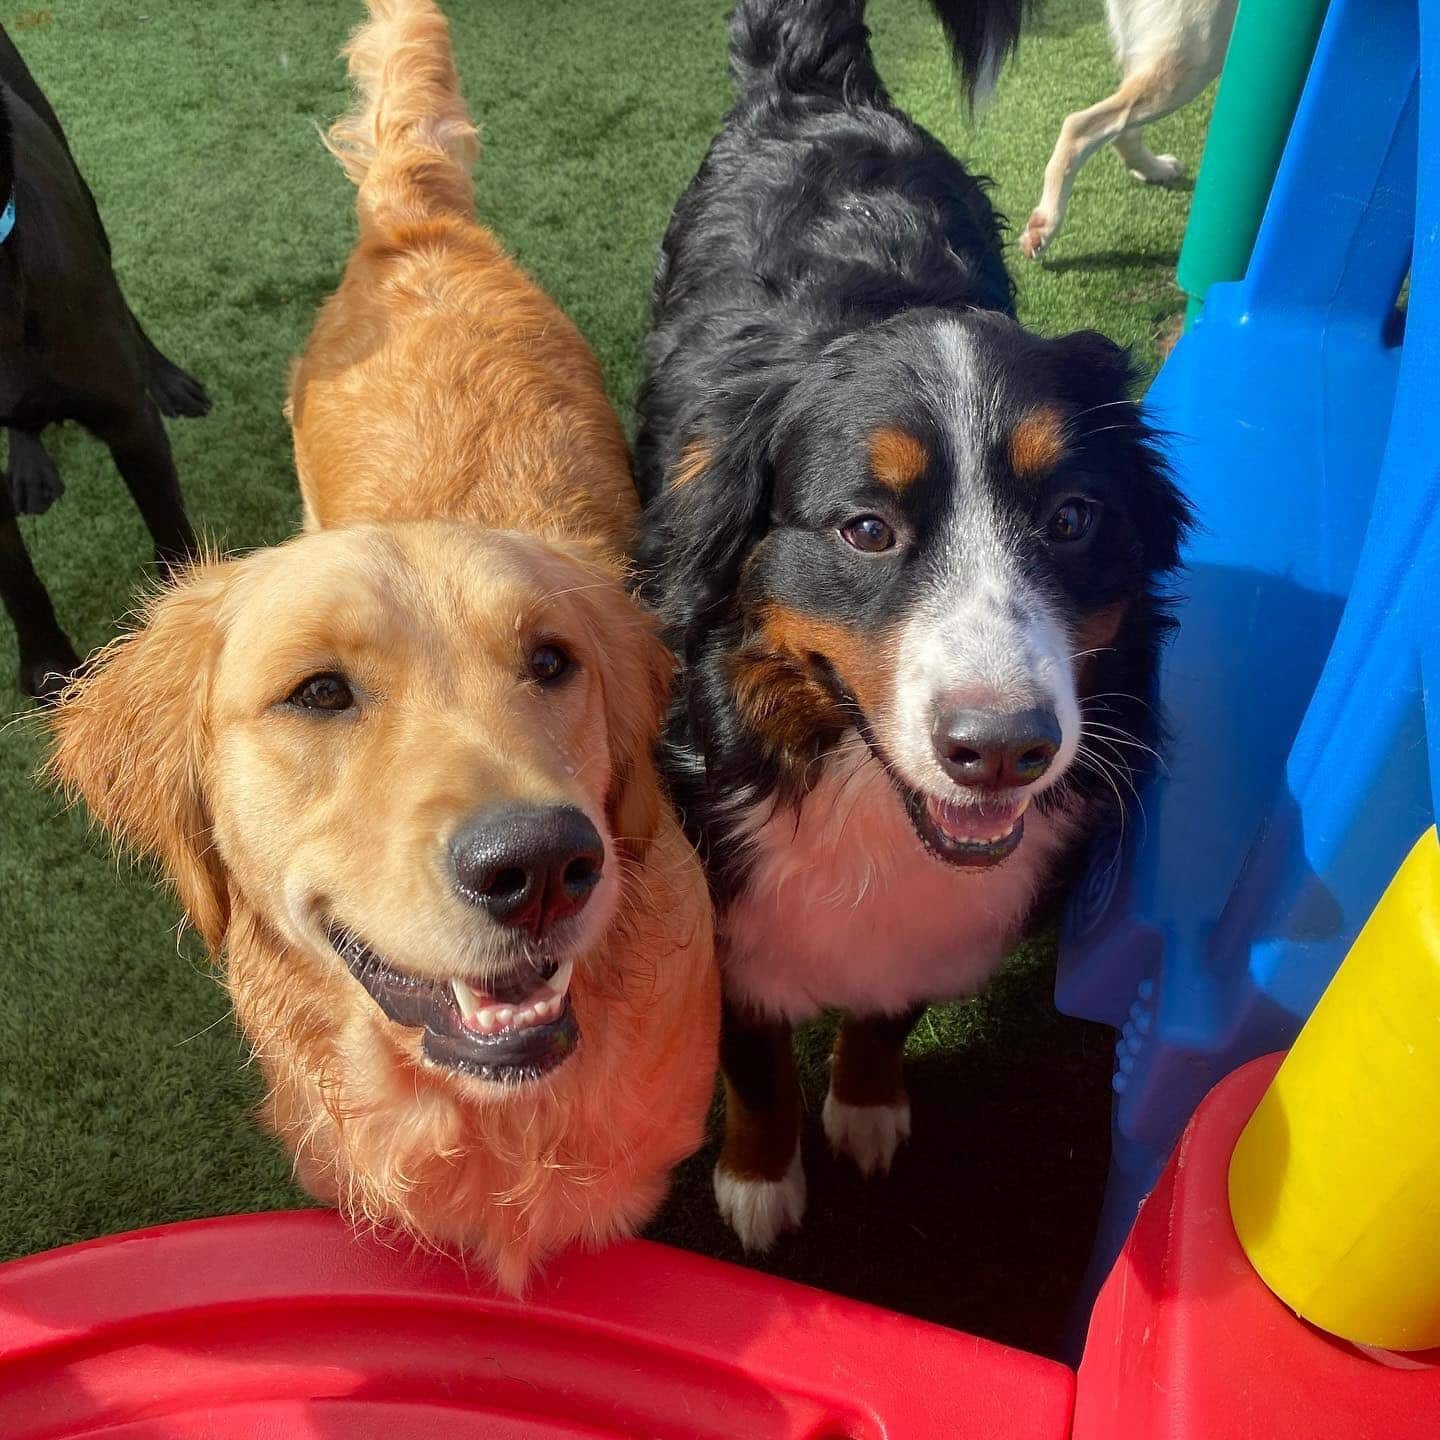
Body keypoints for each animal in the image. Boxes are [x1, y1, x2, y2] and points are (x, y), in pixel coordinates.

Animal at [636, 0, 1186, 1255]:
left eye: (1072, 518)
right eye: (867, 529)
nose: (1000, 750)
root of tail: (813, 83)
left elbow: (888, 1013)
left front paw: (870, 1107)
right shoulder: (716, 885)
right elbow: (753, 1060)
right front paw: (760, 1179)